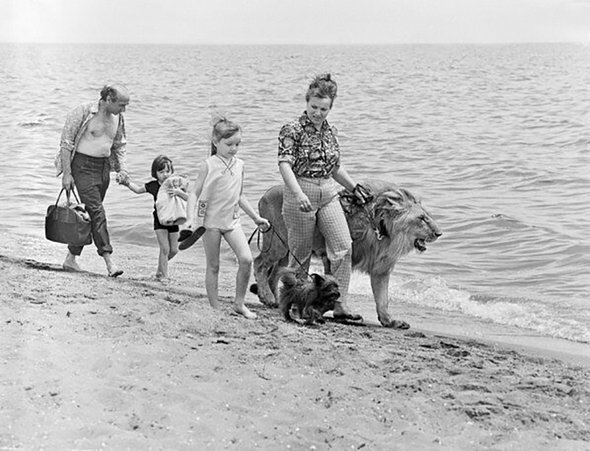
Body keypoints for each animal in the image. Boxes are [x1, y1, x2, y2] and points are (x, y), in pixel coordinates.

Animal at [251, 180, 444, 328]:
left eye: (427, 216)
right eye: (421, 218)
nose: (439, 233)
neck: (384, 232)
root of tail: (264, 194)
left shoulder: (381, 269)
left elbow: (383, 299)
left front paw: (390, 321)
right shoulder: (332, 256)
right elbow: (339, 286)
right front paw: (341, 313)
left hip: (286, 251)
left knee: (276, 274)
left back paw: (275, 300)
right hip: (277, 244)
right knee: (259, 263)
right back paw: (268, 297)